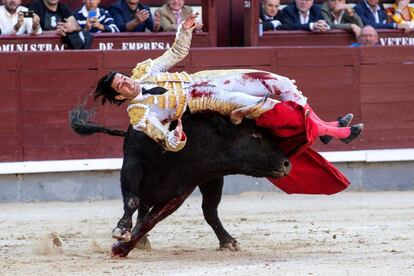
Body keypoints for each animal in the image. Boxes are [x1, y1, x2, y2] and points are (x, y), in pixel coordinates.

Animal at [69, 106, 292, 258]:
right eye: (255, 136)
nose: (286, 163)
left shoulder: (180, 191)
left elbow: (151, 221)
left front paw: (123, 247)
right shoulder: (132, 165)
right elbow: (132, 201)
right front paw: (122, 232)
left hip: (212, 180)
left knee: (209, 211)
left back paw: (228, 242)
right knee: (142, 204)